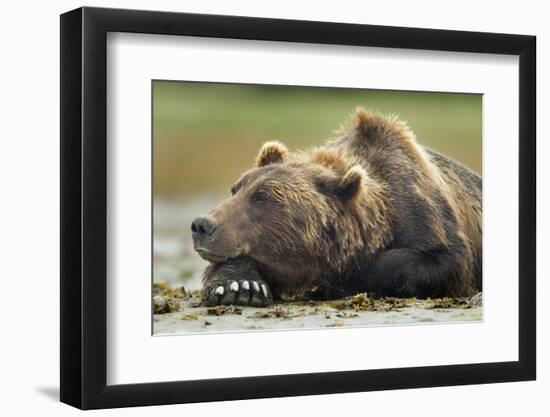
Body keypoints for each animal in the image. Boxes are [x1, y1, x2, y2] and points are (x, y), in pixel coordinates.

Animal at [193, 107, 484, 306]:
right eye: (235, 189)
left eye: (262, 198)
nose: (202, 225)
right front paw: (240, 287)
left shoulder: (423, 212)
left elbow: (442, 261)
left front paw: (337, 281)